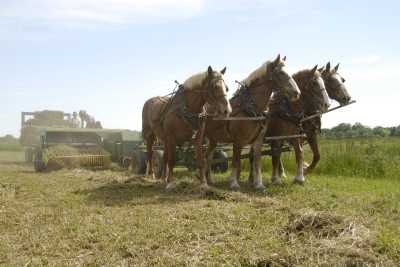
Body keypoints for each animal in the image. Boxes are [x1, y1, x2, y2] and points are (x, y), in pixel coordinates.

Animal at [205, 55, 302, 192]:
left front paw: (259, 184)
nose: (297, 93)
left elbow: (257, 161)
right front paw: (234, 183)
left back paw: (210, 179)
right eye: (281, 73)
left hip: (213, 139)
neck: (251, 109)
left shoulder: (258, 141)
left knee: (208, 156)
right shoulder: (238, 141)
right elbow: (236, 161)